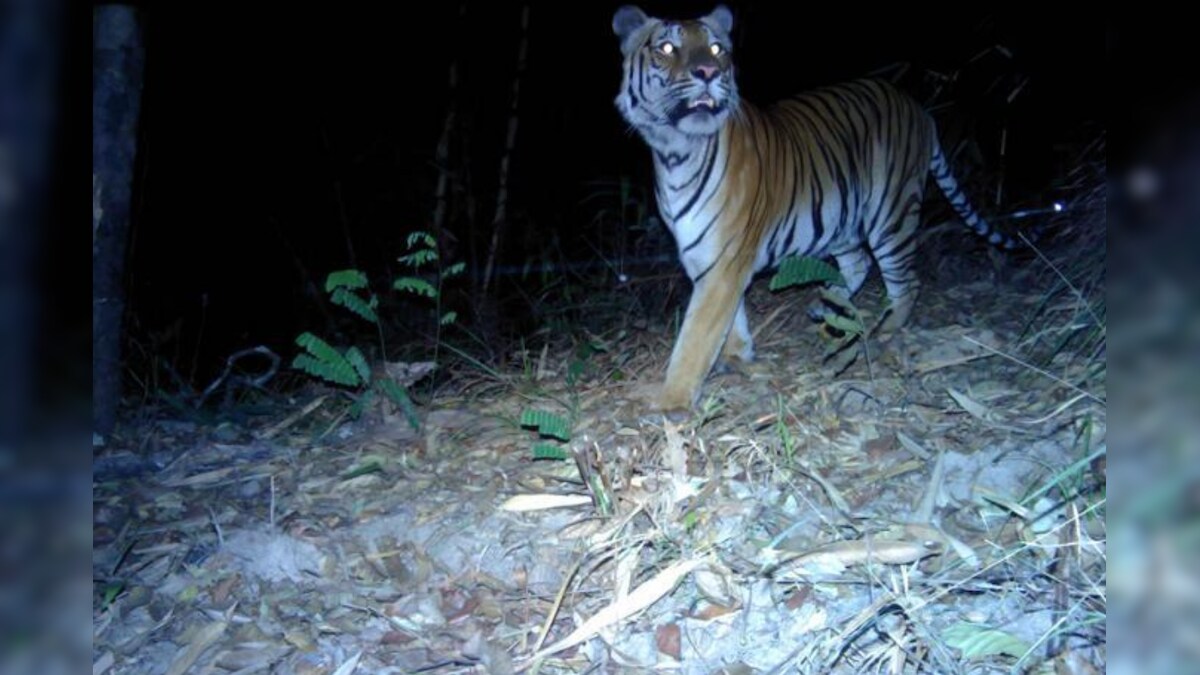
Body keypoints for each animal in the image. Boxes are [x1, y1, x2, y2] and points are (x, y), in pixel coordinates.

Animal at [609, 5, 1012, 413]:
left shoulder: (724, 260)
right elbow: (730, 317)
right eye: (667, 47)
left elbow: (695, 335)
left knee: (906, 281)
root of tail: (919, 109)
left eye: (717, 49)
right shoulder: (705, 257)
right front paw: (738, 356)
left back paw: (884, 328)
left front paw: (671, 401)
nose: (708, 72)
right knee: (858, 262)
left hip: (891, 213)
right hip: (842, 216)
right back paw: (828, 305)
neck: (675, 152)